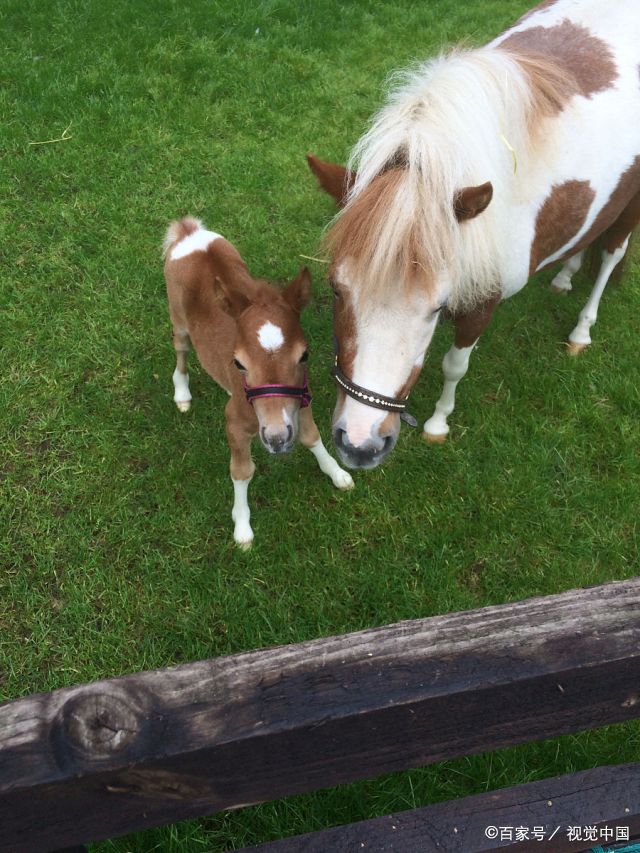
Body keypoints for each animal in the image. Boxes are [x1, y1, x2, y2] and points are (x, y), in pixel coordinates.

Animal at [162, 216, 352, 548]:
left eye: (304, 355)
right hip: (179, 320)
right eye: (238, 363)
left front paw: (337, 473)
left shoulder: (302, 401)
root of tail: (188, 232)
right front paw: (242, 528)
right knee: (181, 349)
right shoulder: (235, 421)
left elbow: (311, 436)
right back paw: (182, 395)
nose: (276, 438)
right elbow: (241, 470)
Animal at [314, 0, 640, 466]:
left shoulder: (482, 303)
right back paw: (564, 277)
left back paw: (581, 332)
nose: (359, 445)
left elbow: (455, 366)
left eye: (436, 308)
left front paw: (438, 424)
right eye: (336, 289)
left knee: (611, 254)